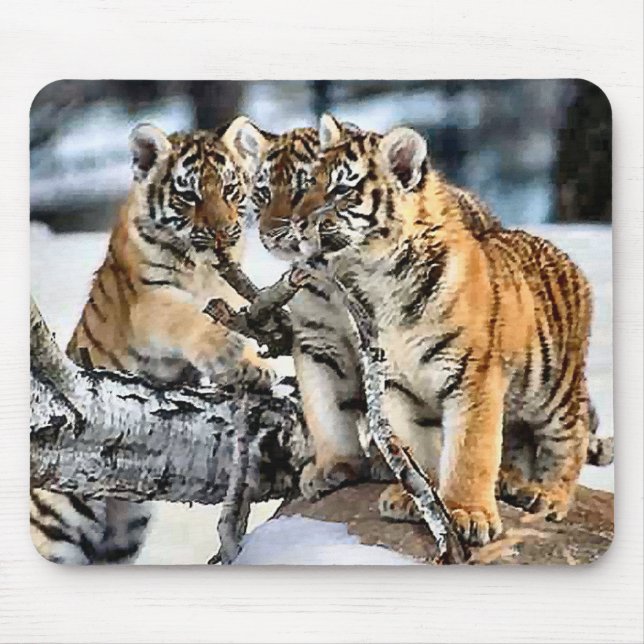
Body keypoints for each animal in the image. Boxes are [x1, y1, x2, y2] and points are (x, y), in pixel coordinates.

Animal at [31, 117, 273, 564]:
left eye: (230, 189)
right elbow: (187, 315)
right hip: (55, 524)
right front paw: (225, 350)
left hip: (124, 531)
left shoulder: (230, 291)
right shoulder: (149, 301)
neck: (202, 268)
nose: (223, 235)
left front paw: (253, 367)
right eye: (190, 195)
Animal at [286, 113, 598, 546]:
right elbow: (417, 448)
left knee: (569, 439)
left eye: (341, 190)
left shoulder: (474, 379)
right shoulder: (395, 384)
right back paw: (512, 483)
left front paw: (468, 513)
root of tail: (561, 253)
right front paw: (415, 498)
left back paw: (547, 496)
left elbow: (470, 452)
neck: (377, 277)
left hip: (553, 389)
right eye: (308, 183)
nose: (297, 223)